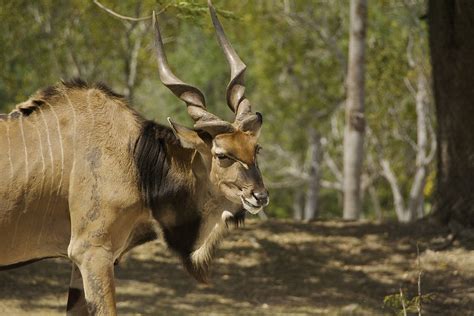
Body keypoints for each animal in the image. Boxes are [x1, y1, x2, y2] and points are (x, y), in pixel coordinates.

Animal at [0, 1, 268, 314]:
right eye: (222, 154)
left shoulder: (84, 263)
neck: (135, 158)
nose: (260, 196)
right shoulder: (92, 253)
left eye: (256, 149)